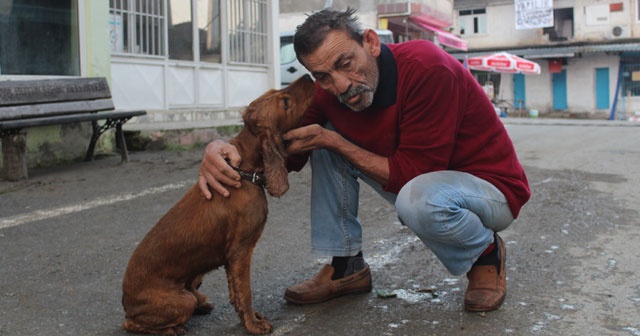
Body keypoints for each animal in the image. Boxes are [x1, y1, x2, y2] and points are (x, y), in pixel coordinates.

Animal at [121, 75, 316, 334]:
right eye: (285, 102)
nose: (308, 76)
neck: (245, 171)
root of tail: (126, 301)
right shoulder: (240, 251)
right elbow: (245, 292)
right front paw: (253, 325)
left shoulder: (232, 258)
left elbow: (235, 292)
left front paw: (250, 318)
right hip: (179, 301)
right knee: (133, 323)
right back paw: (173, 328)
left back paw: (201, 304)